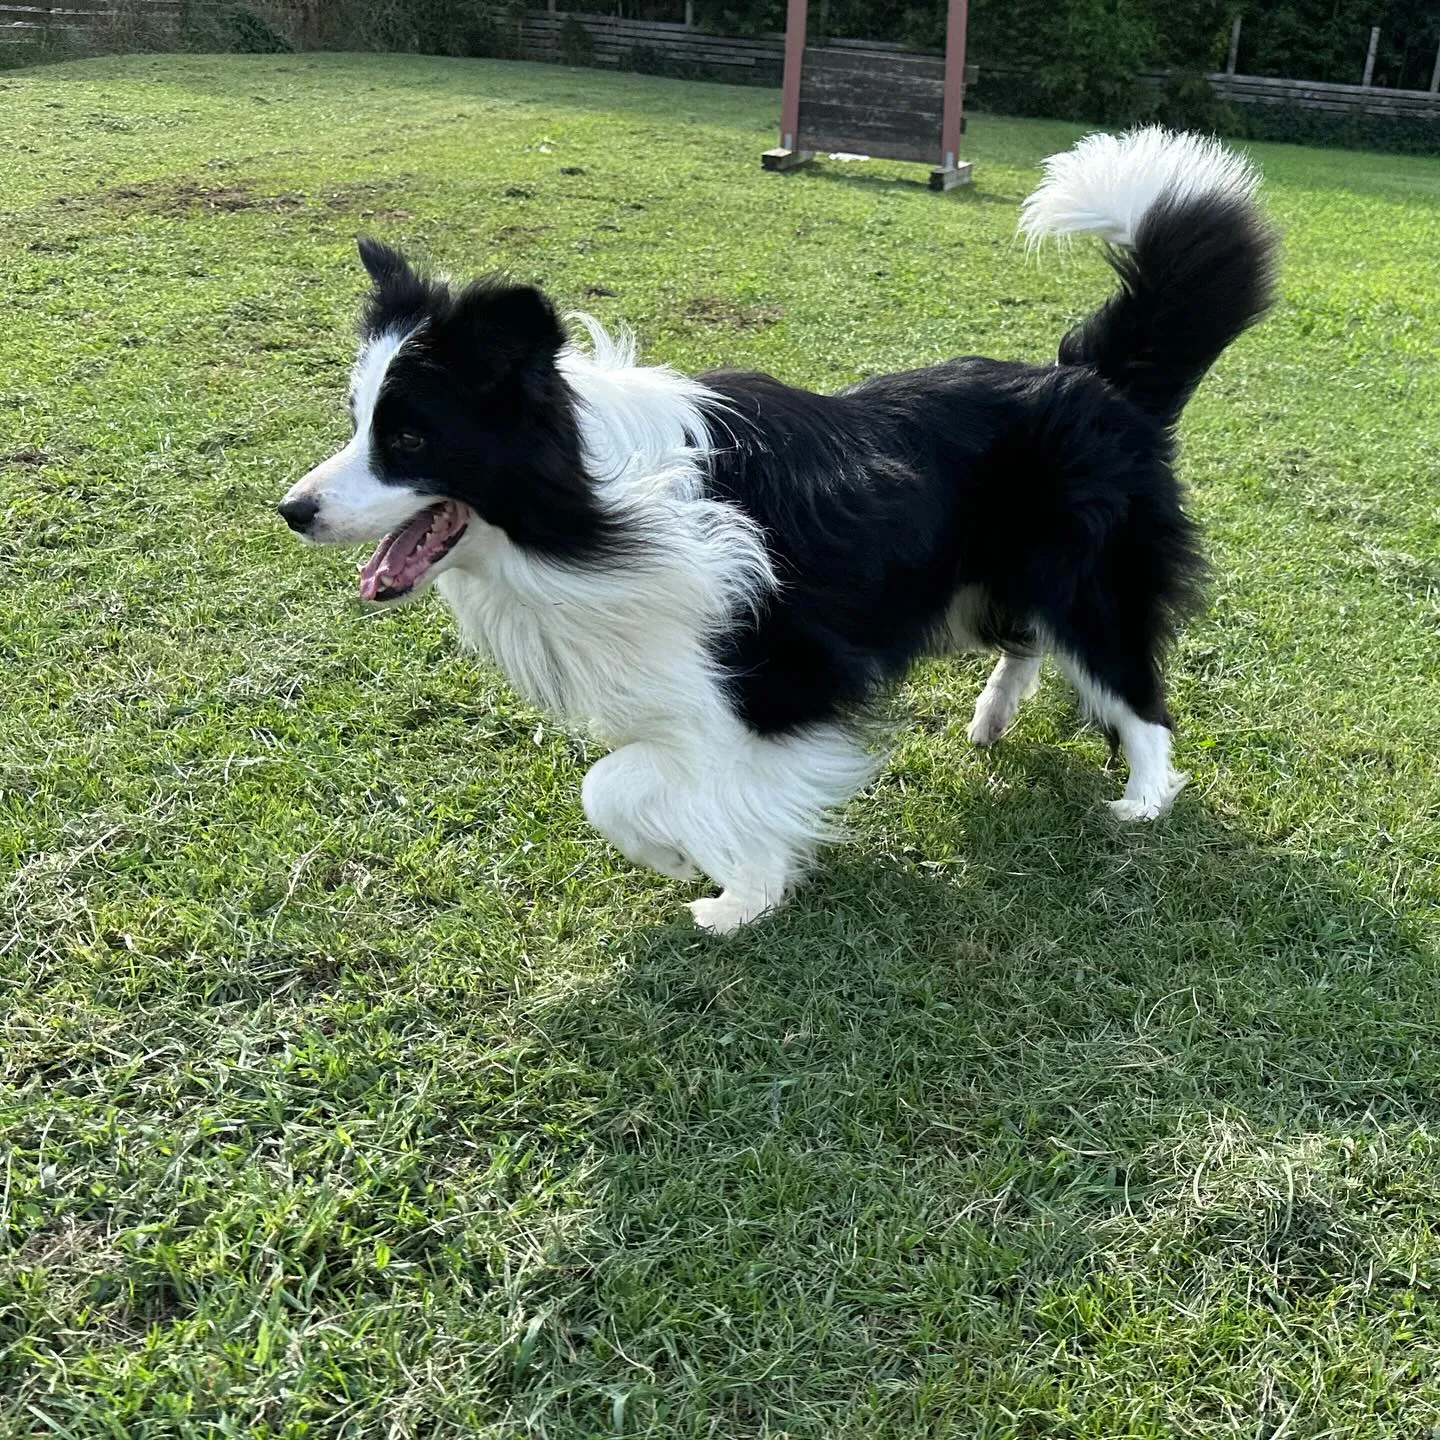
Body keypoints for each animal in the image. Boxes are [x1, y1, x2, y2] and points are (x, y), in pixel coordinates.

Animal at [277, 123, 1272, 933]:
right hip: (985, 581)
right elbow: (622, 788)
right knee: (1026, 641)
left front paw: (734, 896)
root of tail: (1096, 379)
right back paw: (992, 722)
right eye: (356, 419)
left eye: (409, 438)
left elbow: (630, 786)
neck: (588, 504)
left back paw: (1143, 797)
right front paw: (687, 860)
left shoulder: (771, 684)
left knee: (1134, 687)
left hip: (1085, 580)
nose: (292, 511)